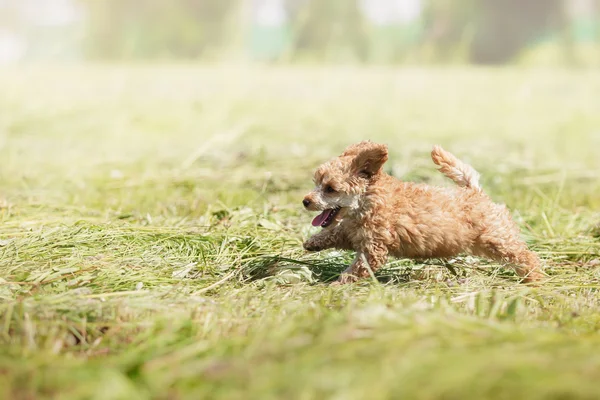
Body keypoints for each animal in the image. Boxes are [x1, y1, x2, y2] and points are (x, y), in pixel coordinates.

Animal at [302, 141, 548, 284]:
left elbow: (358, 268)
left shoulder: (374, 247)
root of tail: (474, 191)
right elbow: (335, 233)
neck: (368, 199)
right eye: (316, 183)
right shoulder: (352, 231)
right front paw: (312, 243)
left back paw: (534, 279)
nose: (305, 201)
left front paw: (338, 283)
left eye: (330, 189)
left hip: (497, 238)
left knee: (525, 256)